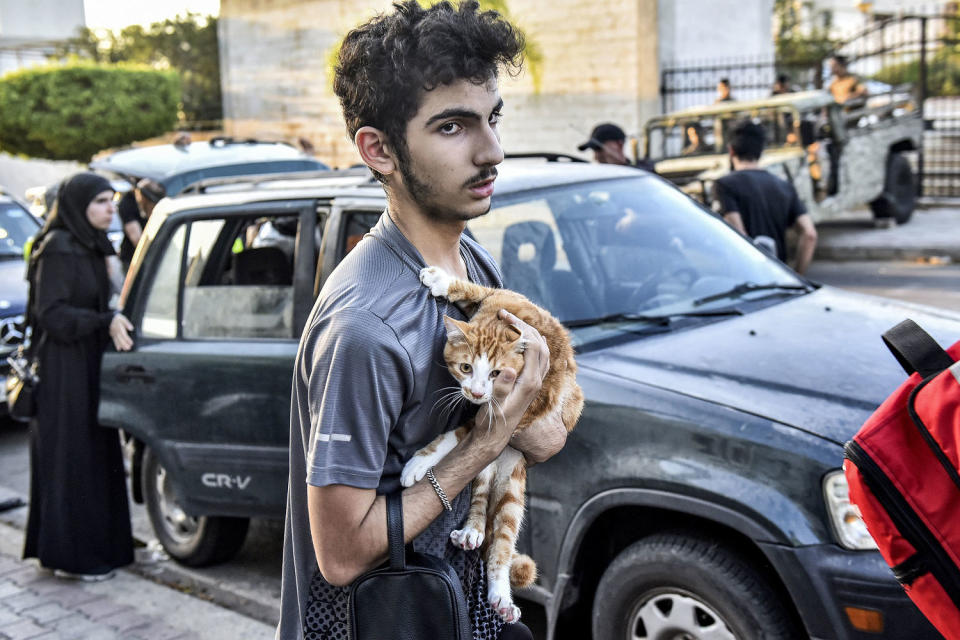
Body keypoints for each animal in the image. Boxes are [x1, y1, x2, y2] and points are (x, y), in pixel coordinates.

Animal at [400, 264, 580, 620]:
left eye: (497, 374)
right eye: (466, 367)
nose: (477, 392)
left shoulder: (526, 407)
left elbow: (462, 431)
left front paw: (419, 461)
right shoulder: (501, 299)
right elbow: (475, 290)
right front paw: (442, 280)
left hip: (513, 482)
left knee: (503, 537)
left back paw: (500, 593)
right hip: (487, 466)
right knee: (481, 493)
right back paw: (473, 529)